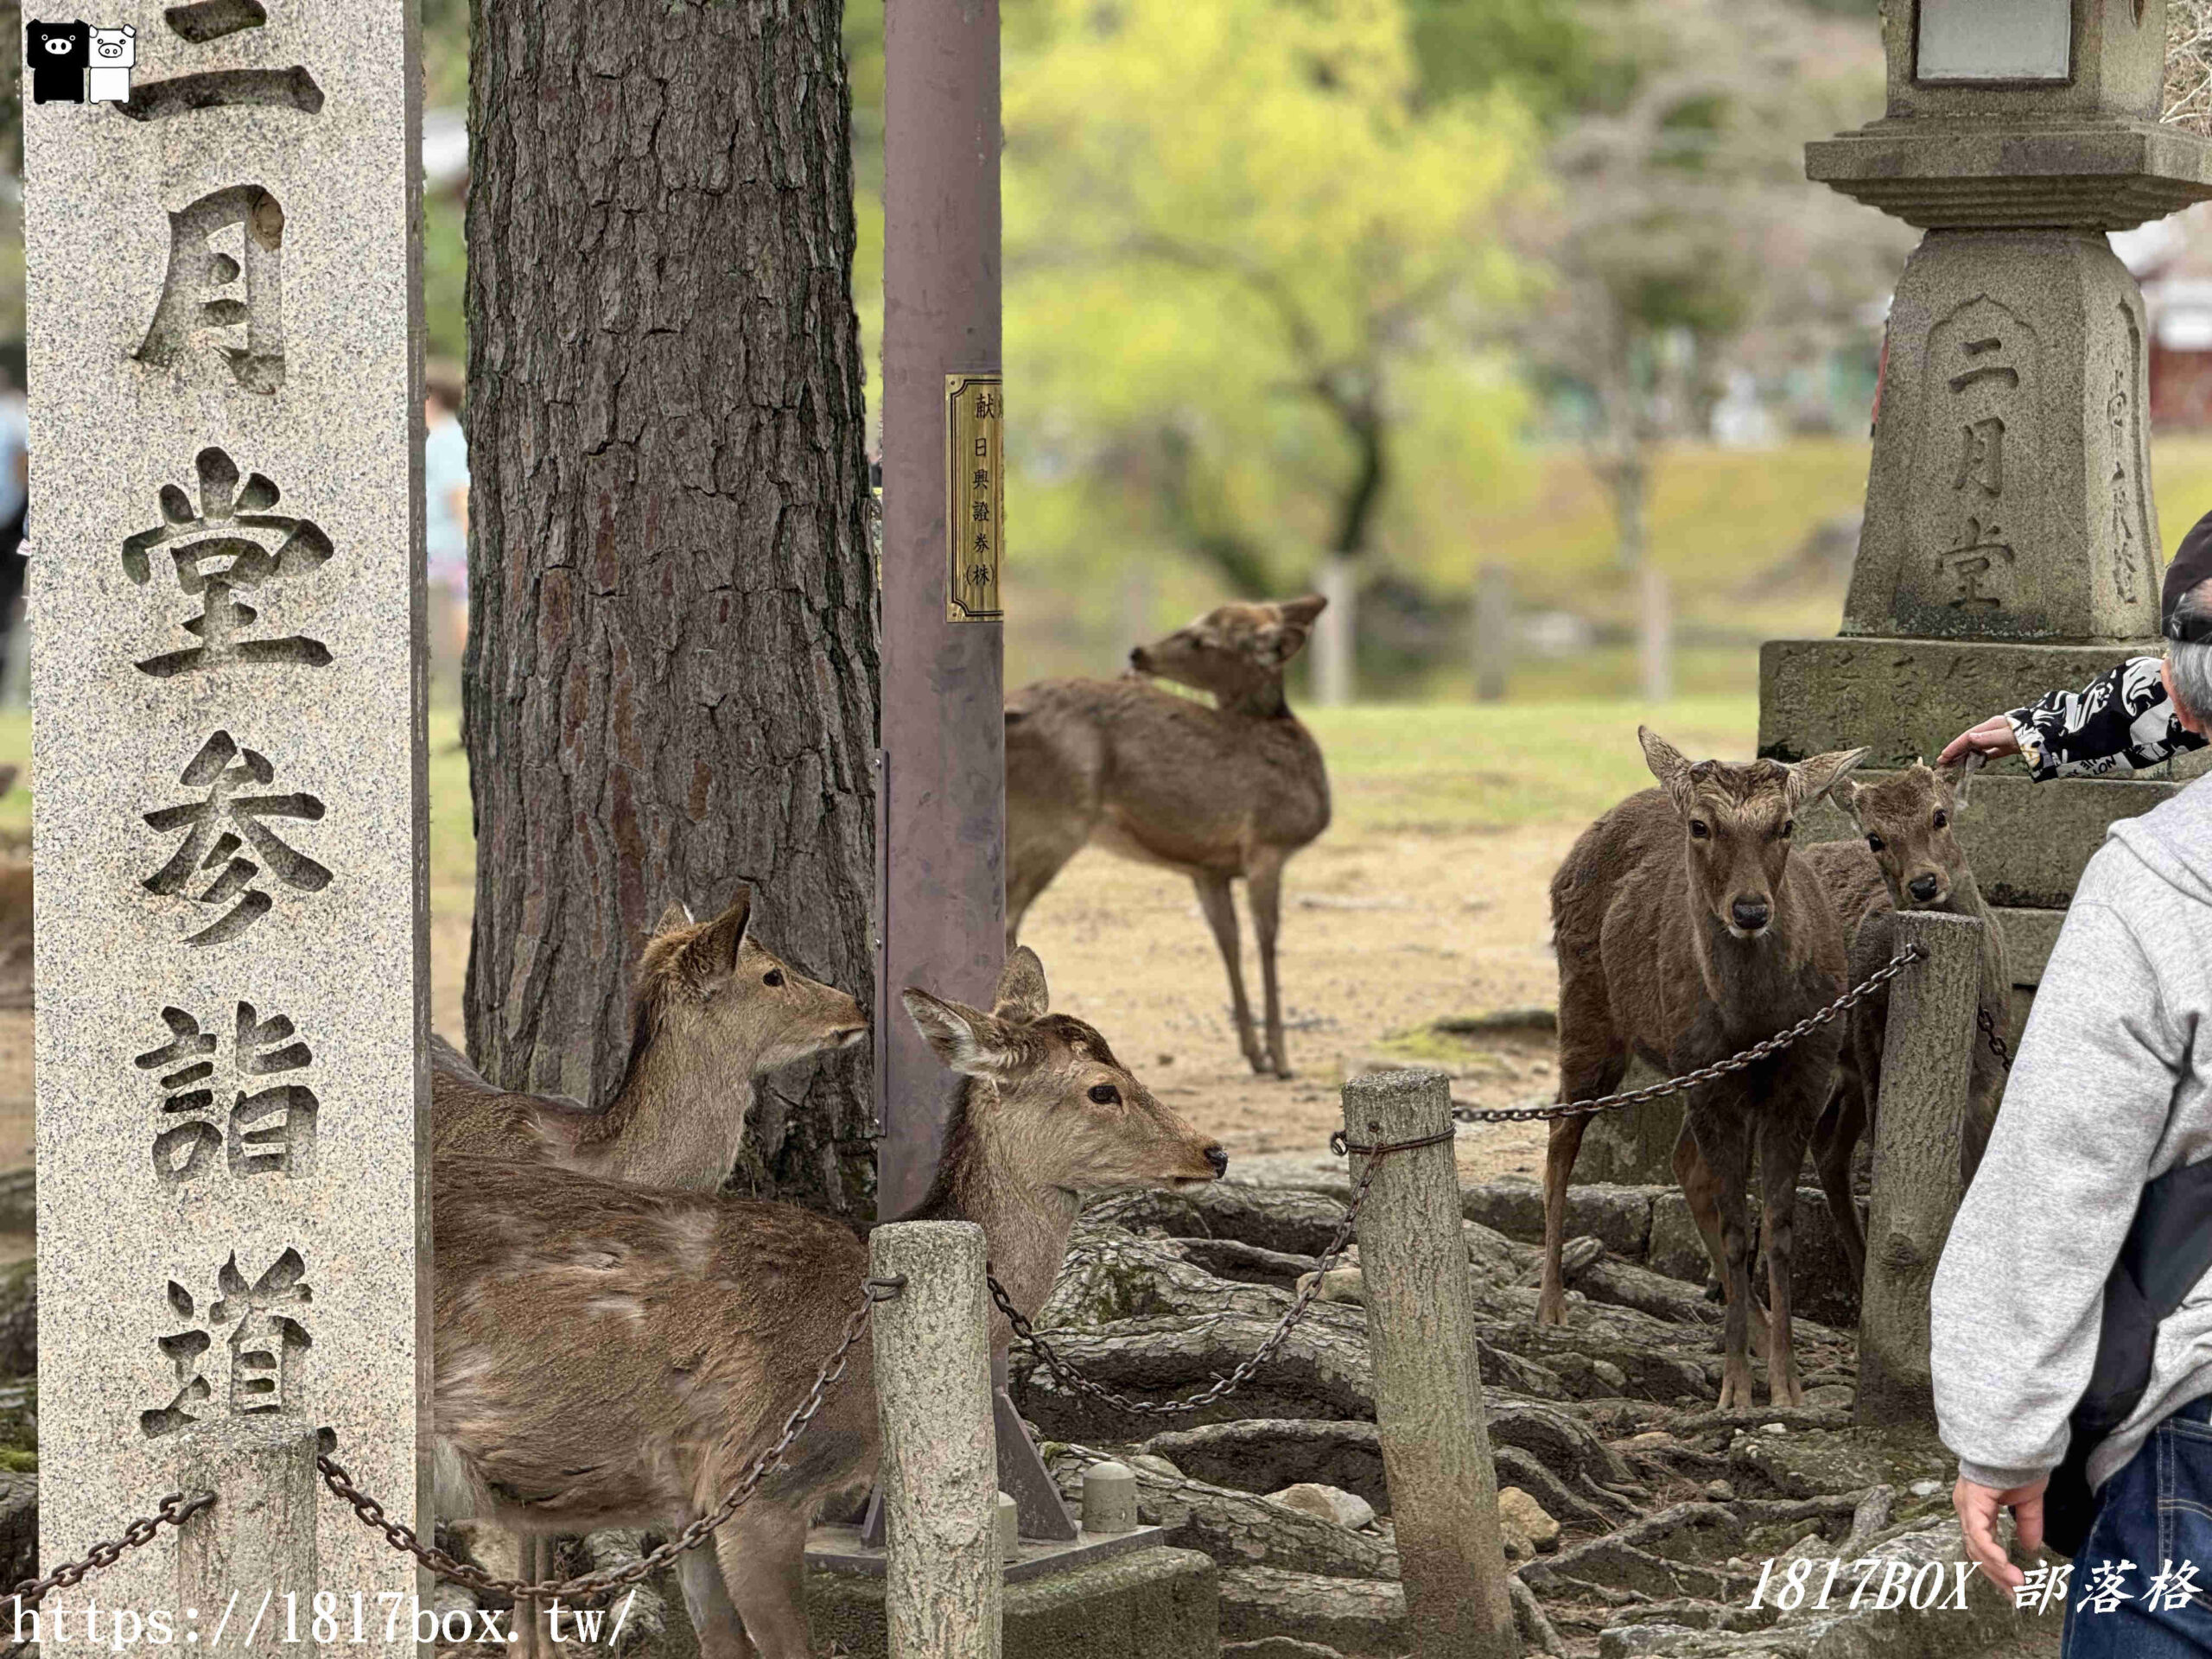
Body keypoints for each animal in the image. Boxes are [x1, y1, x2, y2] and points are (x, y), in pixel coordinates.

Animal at [1008, 593, 1327, 1079]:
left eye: (1203, 640)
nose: (1138, 653)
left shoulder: (1209, 867)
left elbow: (1229, 940)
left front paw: (1254, 1053)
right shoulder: (1267, 844)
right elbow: (1268, 939)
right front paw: (1281, 1060)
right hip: (1052, 821)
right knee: (1010, 913)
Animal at [1539, 734, 1866, 1407]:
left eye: (1786, 825)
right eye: (1700, 826)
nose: (1750, 909)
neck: (1756, 1022)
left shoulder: (1805, 1076)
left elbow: (1778, 1229)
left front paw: (1787, 1382)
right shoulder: (1712, 1079)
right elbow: (1741, 1229)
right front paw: (1736, 1390)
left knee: (1682, 1163)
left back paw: (1761, 1328)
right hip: (1587, 1008)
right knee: (1561, 1130)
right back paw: (1552, 1302)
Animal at [1804, 760, 2017, 1292]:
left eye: (1940, 815)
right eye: (1874, 837)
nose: (1923, 884)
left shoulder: (1989, 1083)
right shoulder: (1876, 1052)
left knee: (1826, 1142)